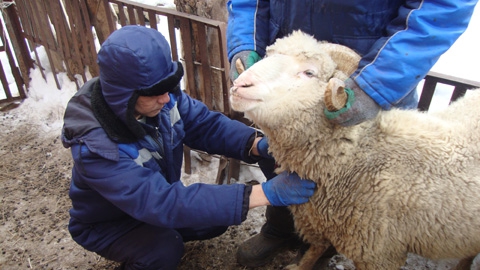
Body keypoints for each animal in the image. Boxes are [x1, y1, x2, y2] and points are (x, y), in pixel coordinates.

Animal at [229, 30, 480, 268]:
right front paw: (300, 266)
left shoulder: (379, 254)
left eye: (309, 73)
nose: (240, 84)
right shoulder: (321, 221)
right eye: (268, 55)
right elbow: (315, 248)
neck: (354, 157)